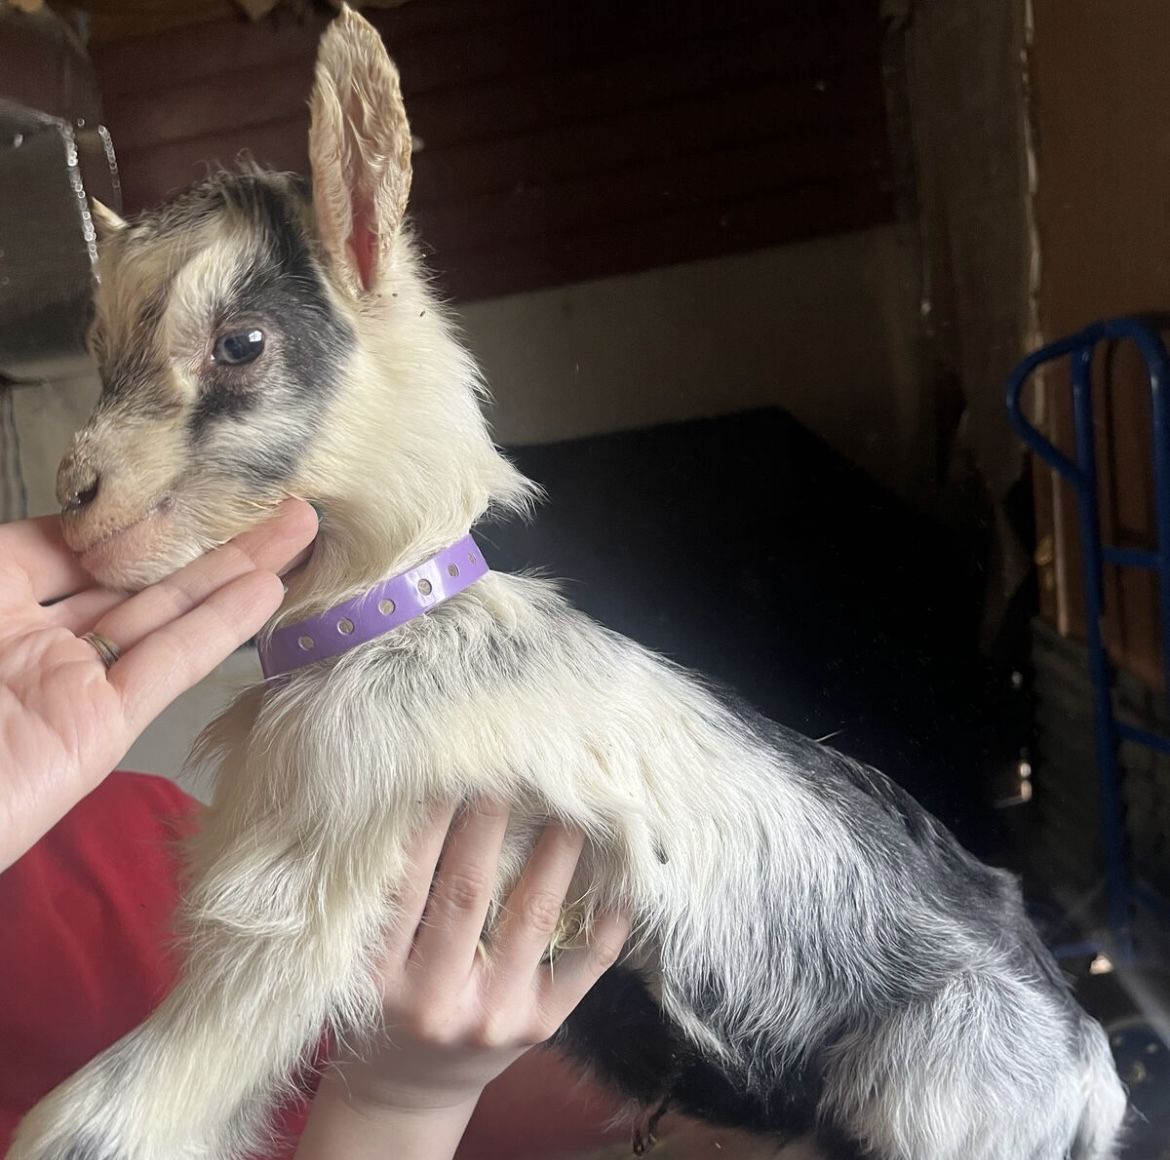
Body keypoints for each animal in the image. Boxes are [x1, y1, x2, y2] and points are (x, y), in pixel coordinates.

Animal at [11, 9, 1126, 1159]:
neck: (385, 625)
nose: (76, 492)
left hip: (941, 1102)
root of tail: (1090, 1071)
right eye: (97, 353)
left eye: (242, 342)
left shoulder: (301, 910)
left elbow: (110, 1114)